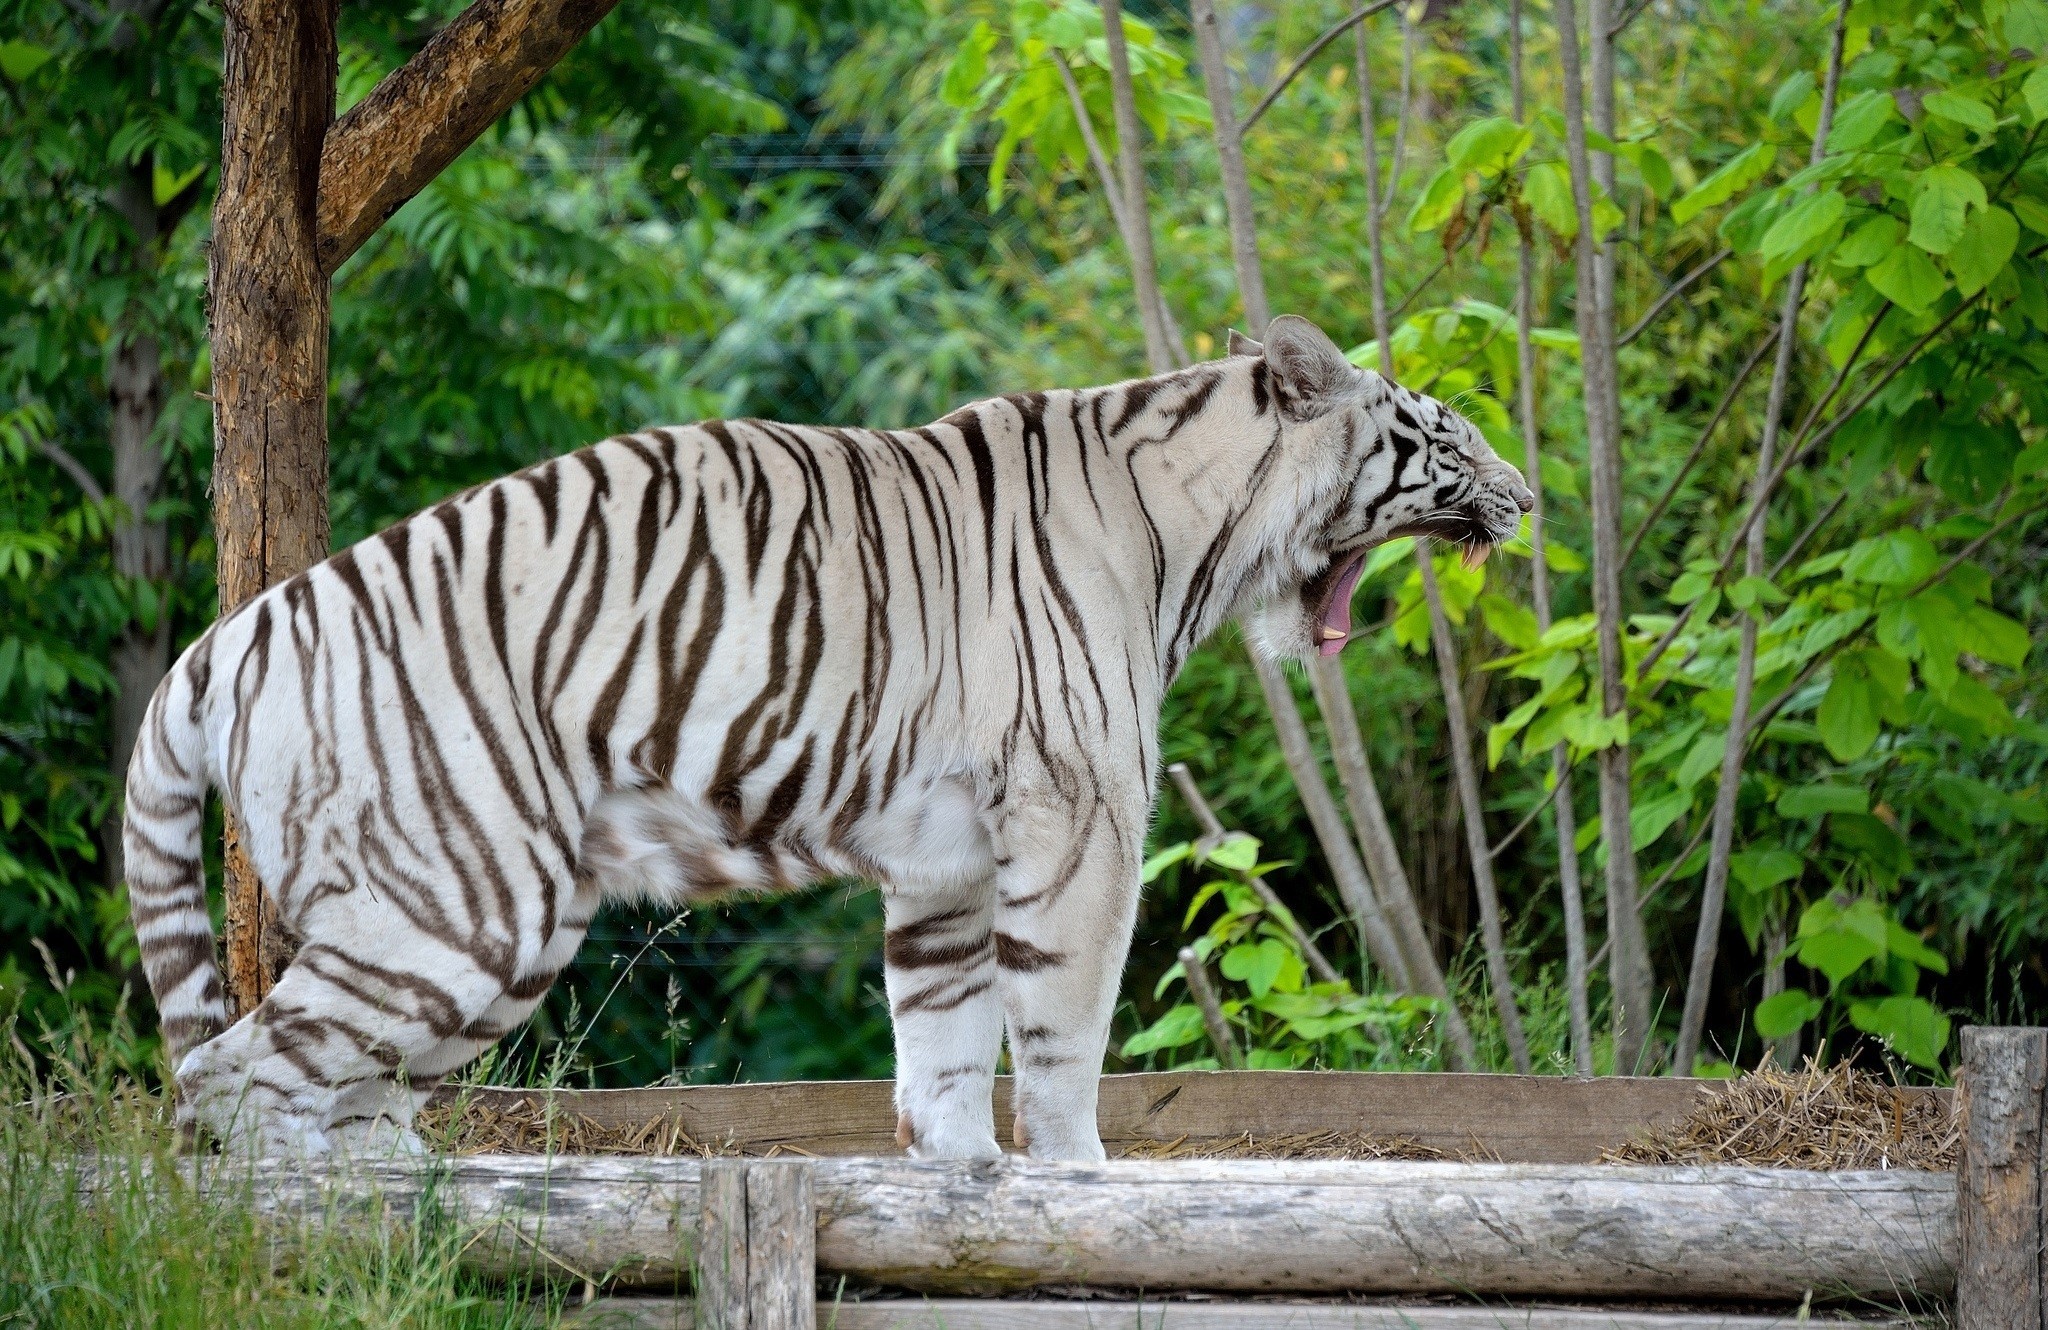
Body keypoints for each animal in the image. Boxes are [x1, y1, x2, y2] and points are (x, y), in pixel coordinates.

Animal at [124, 315, 1532, 1160]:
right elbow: (1061, 1026)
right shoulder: (1078, 815)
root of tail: (231, 634)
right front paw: (1077, 1181)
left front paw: (963, 1181)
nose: (1526, 495)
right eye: (1449, 434)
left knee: (342, 1090)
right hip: (461, 907)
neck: (1197, 534)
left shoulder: (948, 856)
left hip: (483, 937)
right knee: (234, 1080)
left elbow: (945, 1038)